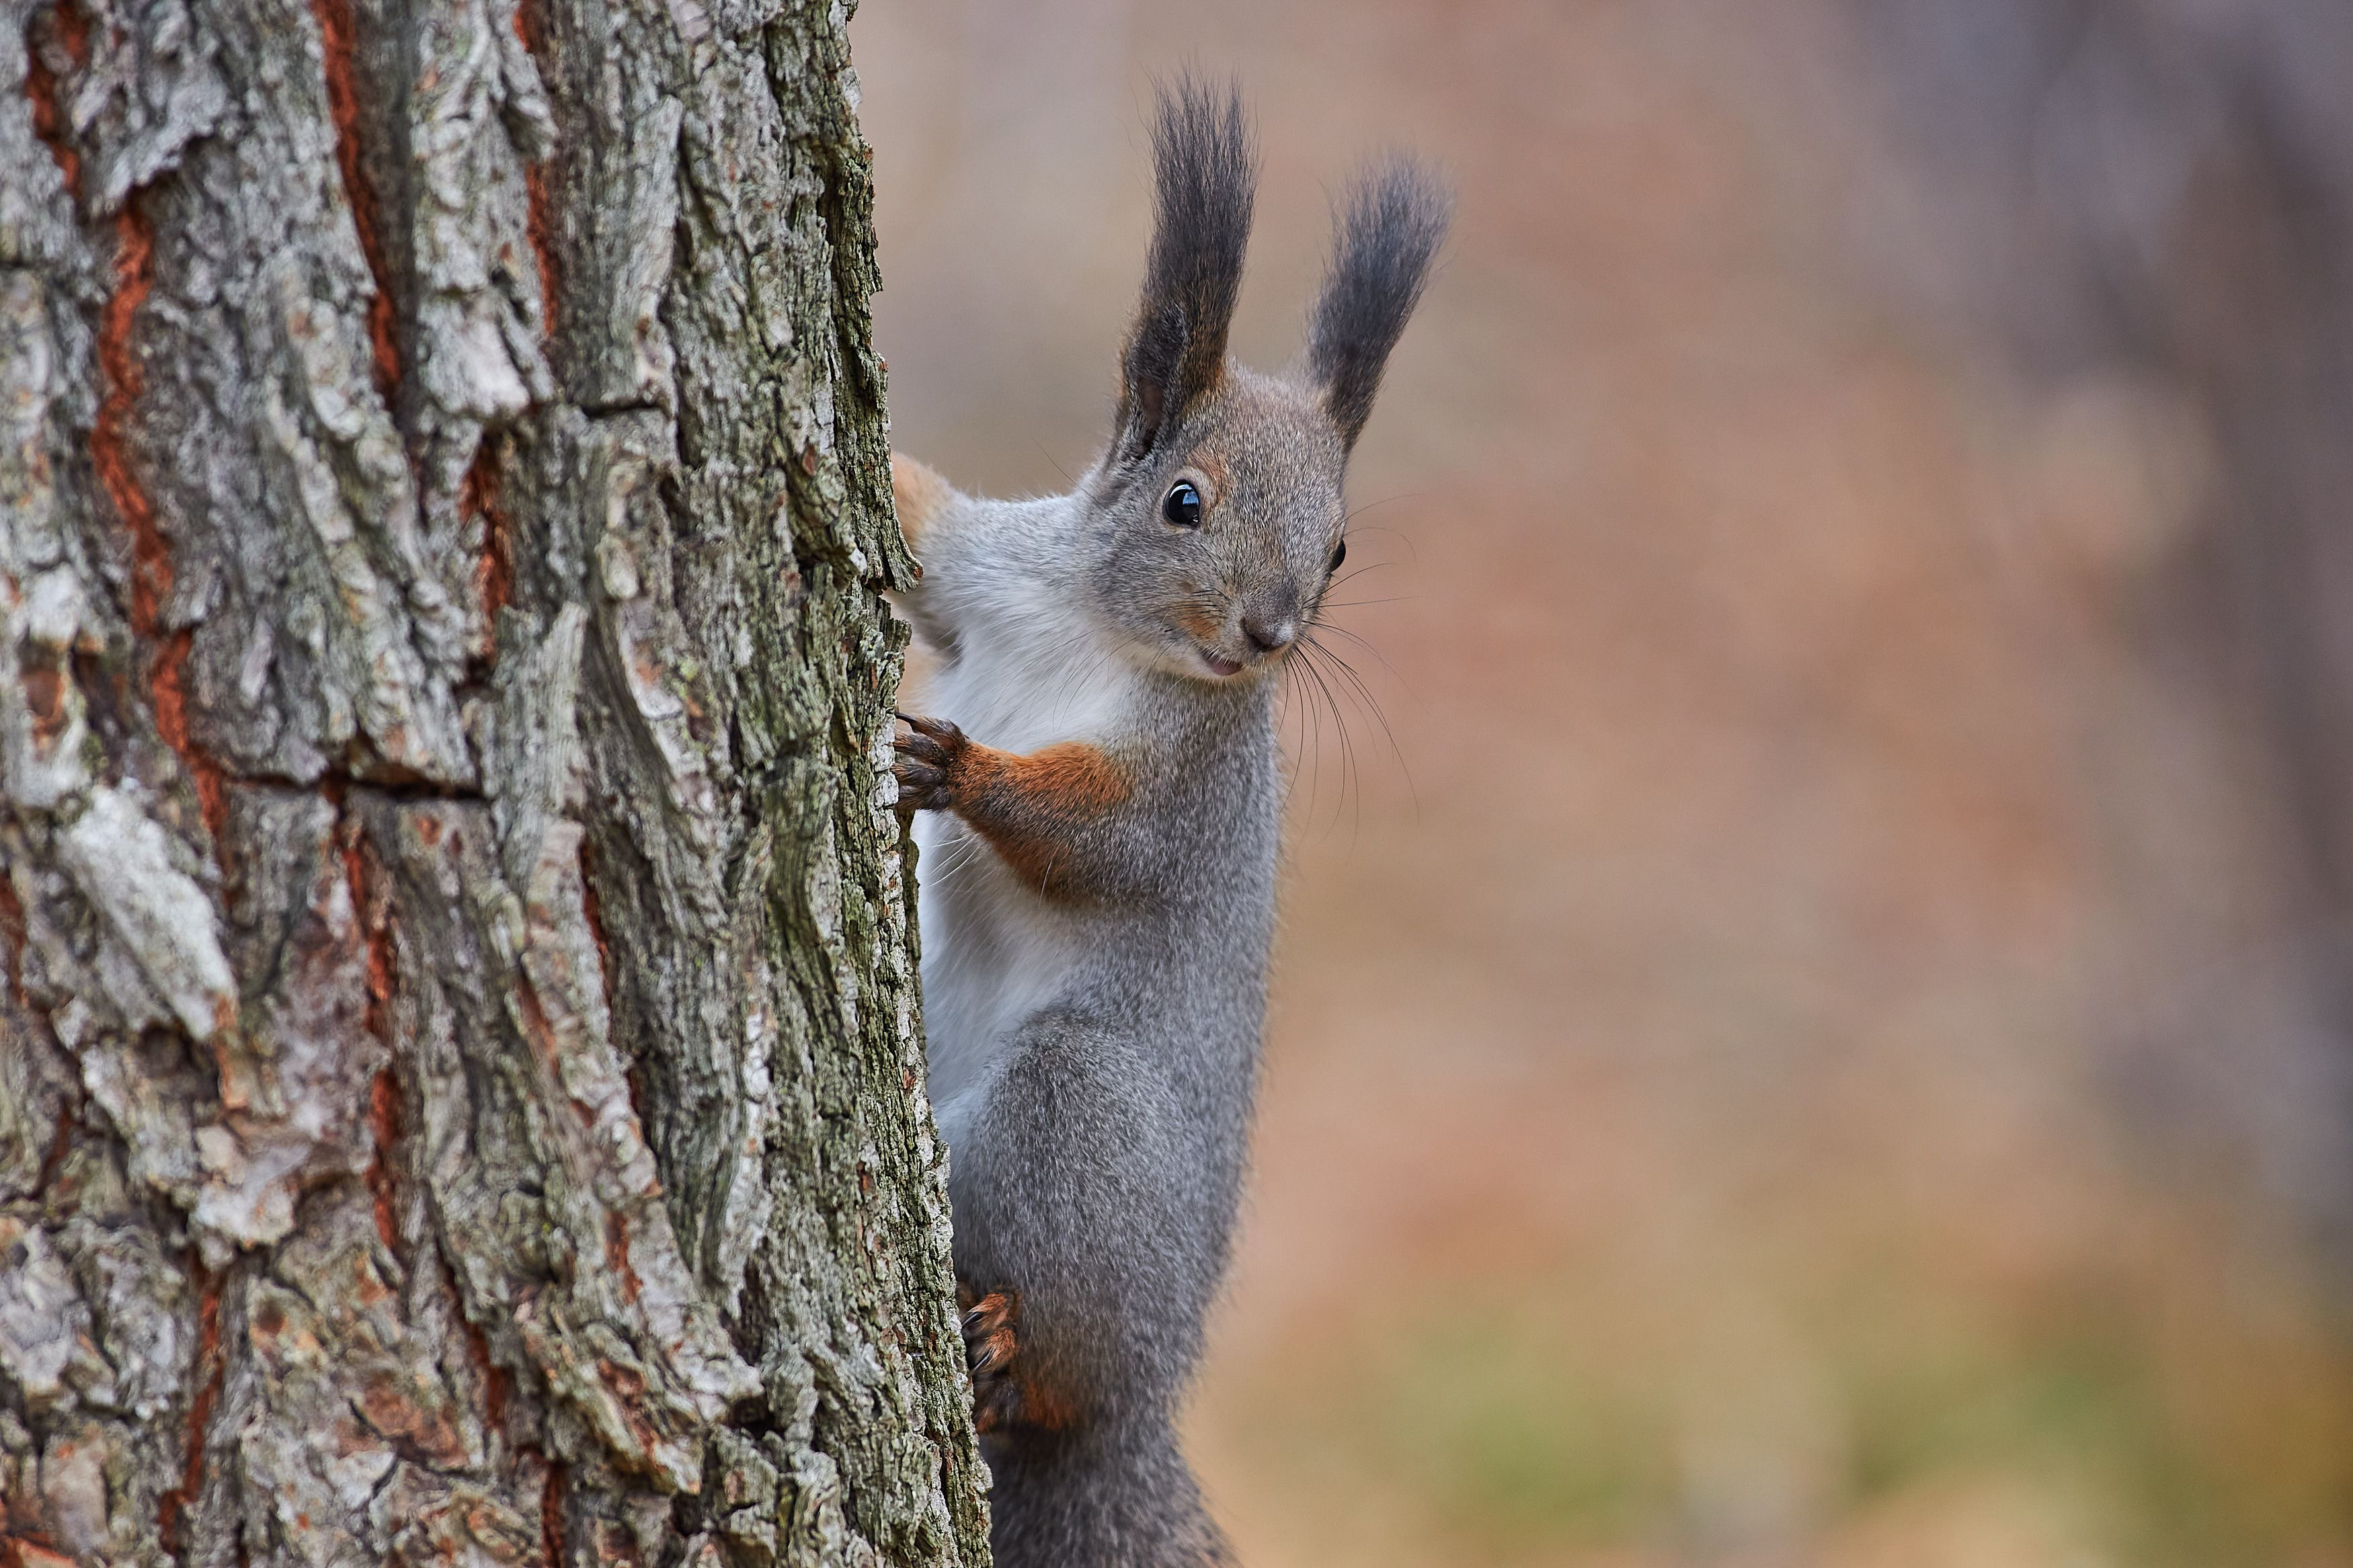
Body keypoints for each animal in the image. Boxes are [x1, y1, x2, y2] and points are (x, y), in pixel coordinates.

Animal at [885, 76, 1440, 1568]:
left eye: (1341, 547)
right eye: (1184, 499)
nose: (1268, 632)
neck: (1094, 622)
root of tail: (1143, 1401)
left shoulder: (1189, 787)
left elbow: (1097, 839)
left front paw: (963, 766)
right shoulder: (985, 572)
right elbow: (924, 529)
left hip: (1078, 1119)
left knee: (1057, 1362)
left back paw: (1013, 1344)